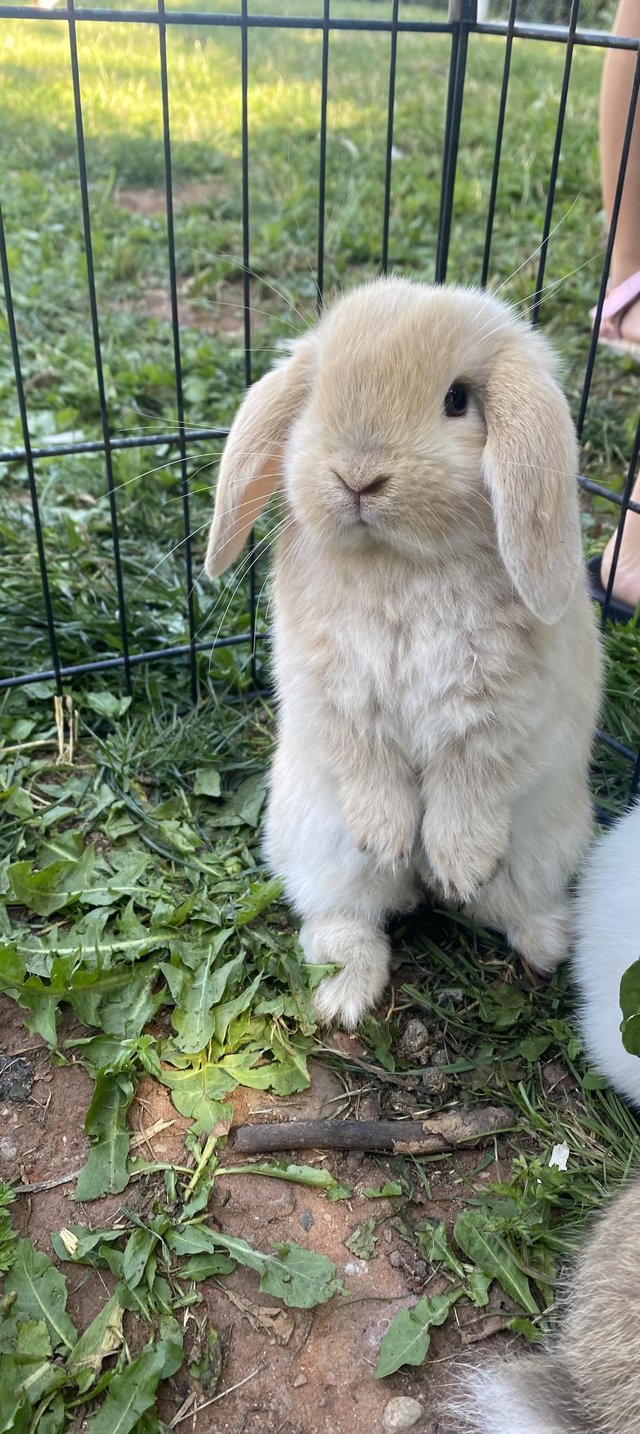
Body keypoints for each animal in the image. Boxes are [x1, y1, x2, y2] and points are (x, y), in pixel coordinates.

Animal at [205, 273, 599, 1026]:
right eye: (317, 390)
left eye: (457, 400)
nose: (358, 477)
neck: (400, 564)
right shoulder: (335, 695)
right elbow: (368, 763)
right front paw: (389, 838)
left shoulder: (501, 715)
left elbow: (470, 781)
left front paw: (459, 862)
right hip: (322, 856)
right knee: (344, 925)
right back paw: (344, 998)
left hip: (546, 845)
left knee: (500, 906)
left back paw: (540, 938)